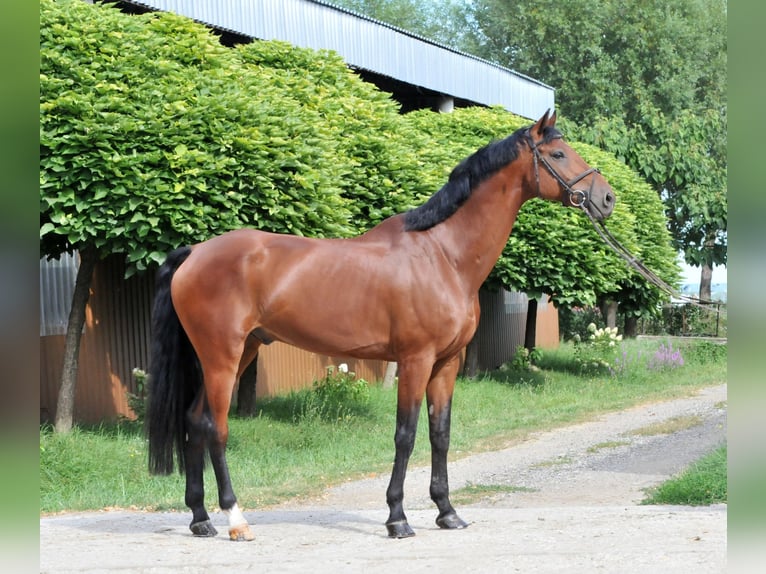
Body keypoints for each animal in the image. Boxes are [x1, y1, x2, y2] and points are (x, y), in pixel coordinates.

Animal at [146, 110, 615, 541]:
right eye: (558, 153)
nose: (607, 198)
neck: (443, 255)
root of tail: (195, 253)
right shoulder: (415, 360)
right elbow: (406, 435)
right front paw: (398, 518)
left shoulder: (446, 364)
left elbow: (440, 435)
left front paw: (447, 512)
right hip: (222, 356)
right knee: (216, 428)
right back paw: (235, 519)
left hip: (243, 351)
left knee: (194, 421)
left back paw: (200, 519)